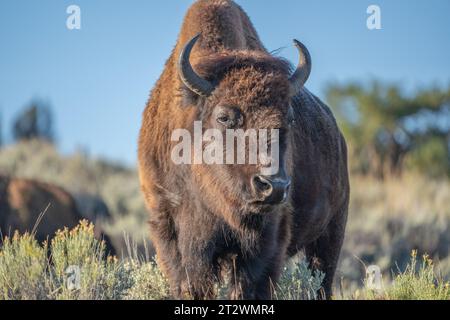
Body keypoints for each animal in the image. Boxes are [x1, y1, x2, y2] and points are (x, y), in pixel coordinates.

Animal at [139, 0, 350, 300]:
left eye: (289, 117)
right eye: (224, 117)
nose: (273, 186)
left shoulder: (265, 241)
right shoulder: (170, 229)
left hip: (331, 234)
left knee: (322, 278)